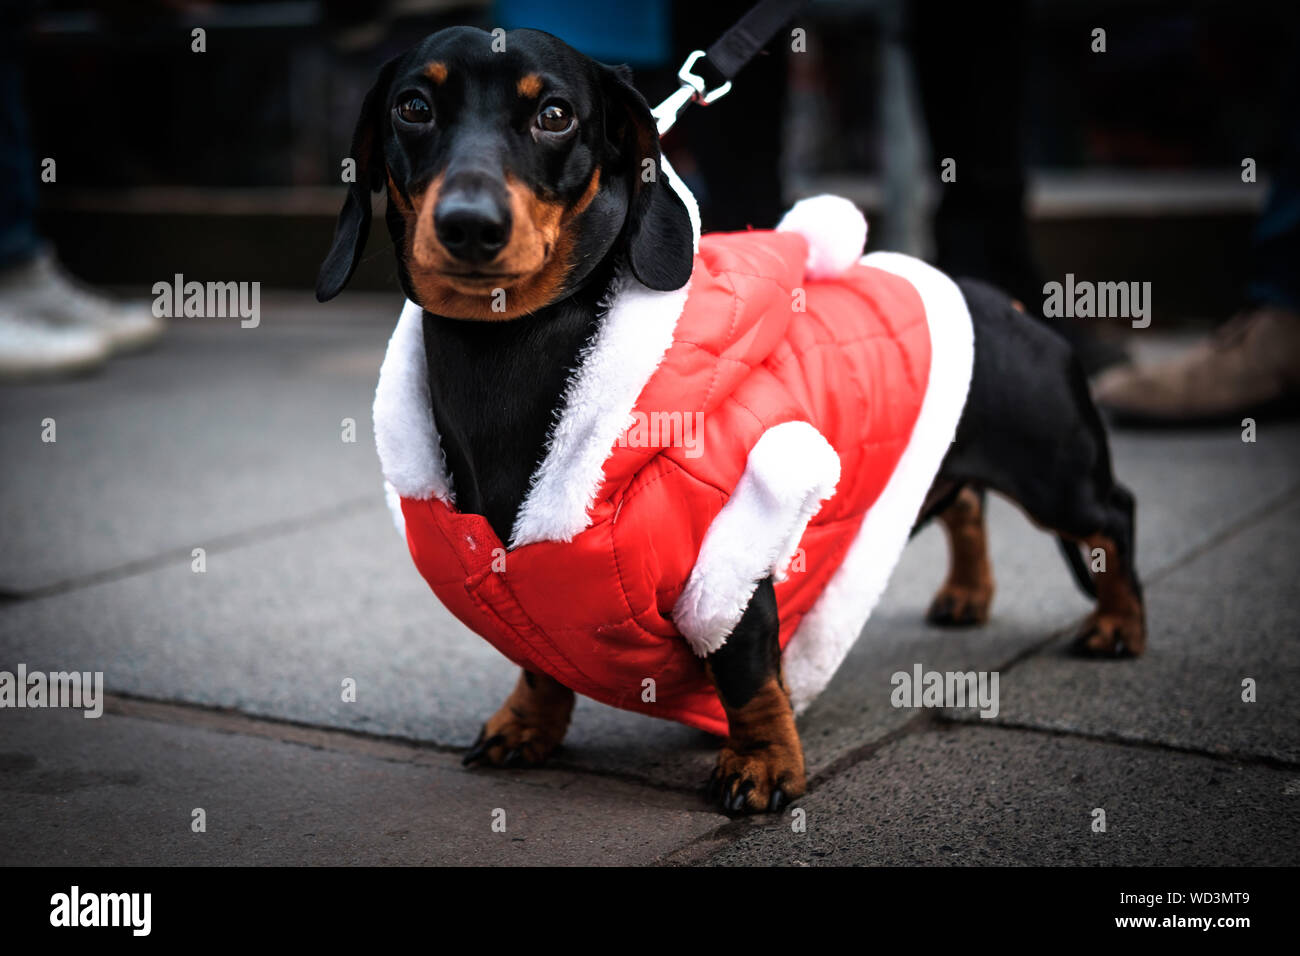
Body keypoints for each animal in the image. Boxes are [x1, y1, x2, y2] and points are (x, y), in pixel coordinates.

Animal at [319, 26, 1144, 816]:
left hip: (1057, 475)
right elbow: (538, 659)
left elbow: (748, 675)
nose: (469, 225)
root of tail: (1005, 303)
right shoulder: (526, 585)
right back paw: (969, 594)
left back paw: (1119, 625)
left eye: (554, 115)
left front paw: (762, 764)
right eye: (413, 107)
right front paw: (527, 724)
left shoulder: (730, 558)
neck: (506, 353)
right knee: (966, 502)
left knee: (1112, 517)